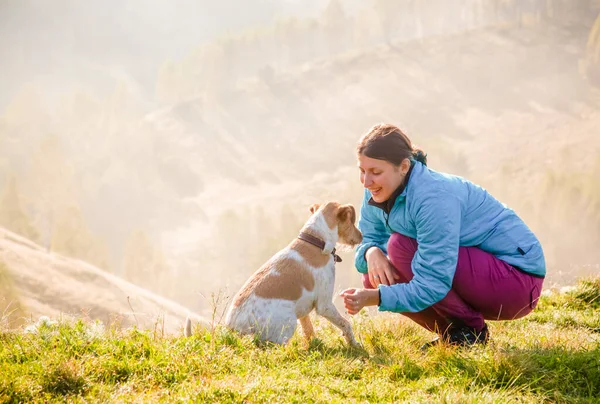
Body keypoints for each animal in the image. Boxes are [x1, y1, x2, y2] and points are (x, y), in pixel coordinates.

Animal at [190, 204, 364, 346]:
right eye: (351, 221)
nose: (362, 236)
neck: (315, 241)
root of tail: (234, 327)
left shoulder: (305, 309)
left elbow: (308, 330)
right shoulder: (325, 305)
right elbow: (346, 324)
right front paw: (355, 345)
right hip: (288, 323)